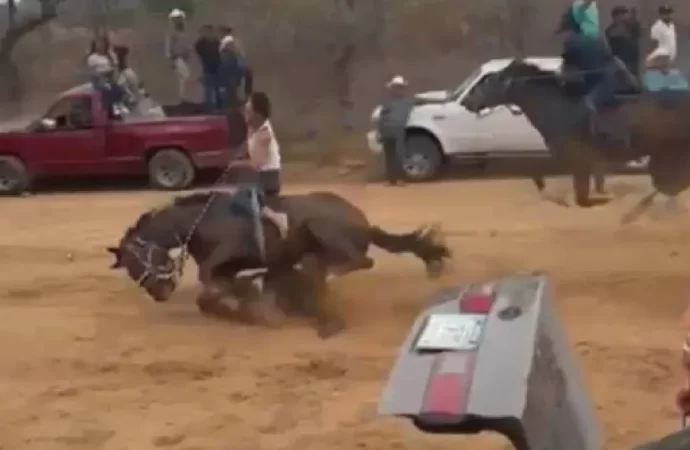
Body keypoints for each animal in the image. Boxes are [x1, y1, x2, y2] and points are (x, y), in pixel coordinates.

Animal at [106, 190, 452, 338]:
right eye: (131, 269)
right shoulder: (226, 269)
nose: (159, 293)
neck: (203, 221)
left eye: (138, 260)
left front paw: (259, 307)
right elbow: (212, 294)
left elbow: (213, 284)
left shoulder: (227, 258)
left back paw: (316, 276)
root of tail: (363, 223)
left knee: (358, 261)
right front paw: (254, 307)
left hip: (321, 228)